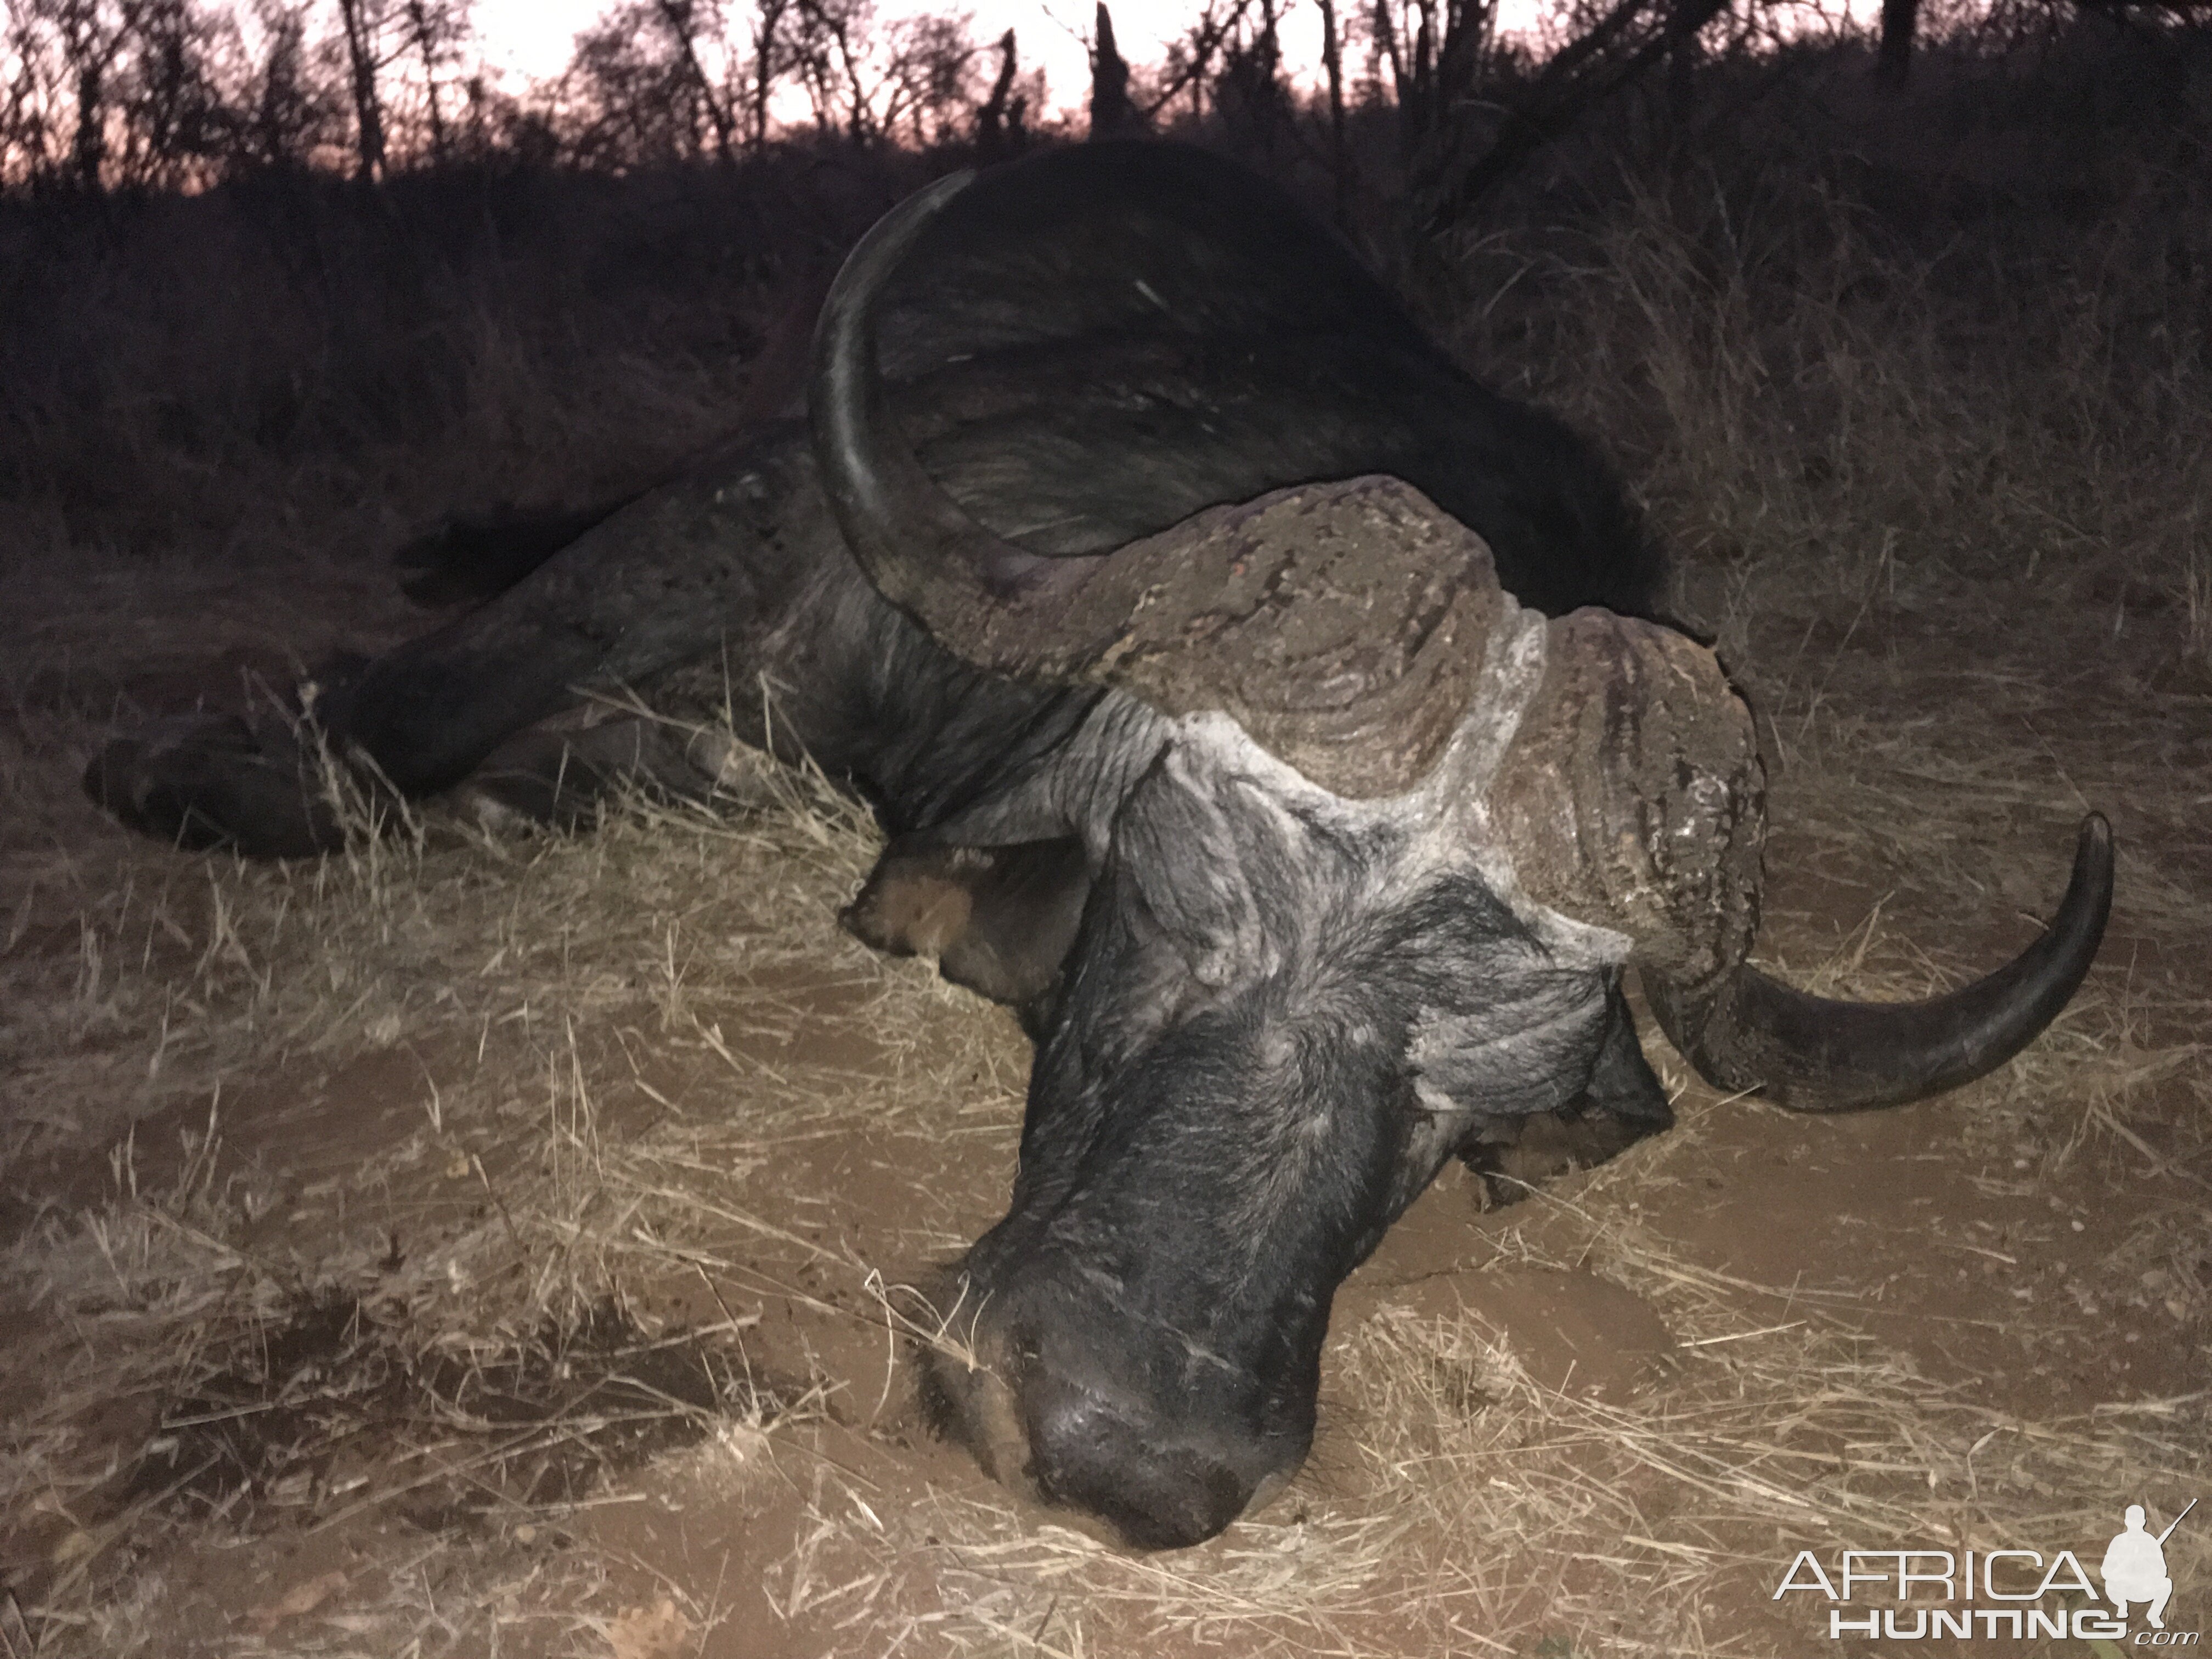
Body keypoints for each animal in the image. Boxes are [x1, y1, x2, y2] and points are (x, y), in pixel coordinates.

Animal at [86, 143, 2106, 1557]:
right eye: (1181, 898)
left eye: (1469, 1103)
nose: (1125, 1454)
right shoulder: (747, 517)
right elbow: (424, 706)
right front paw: (197, 768)